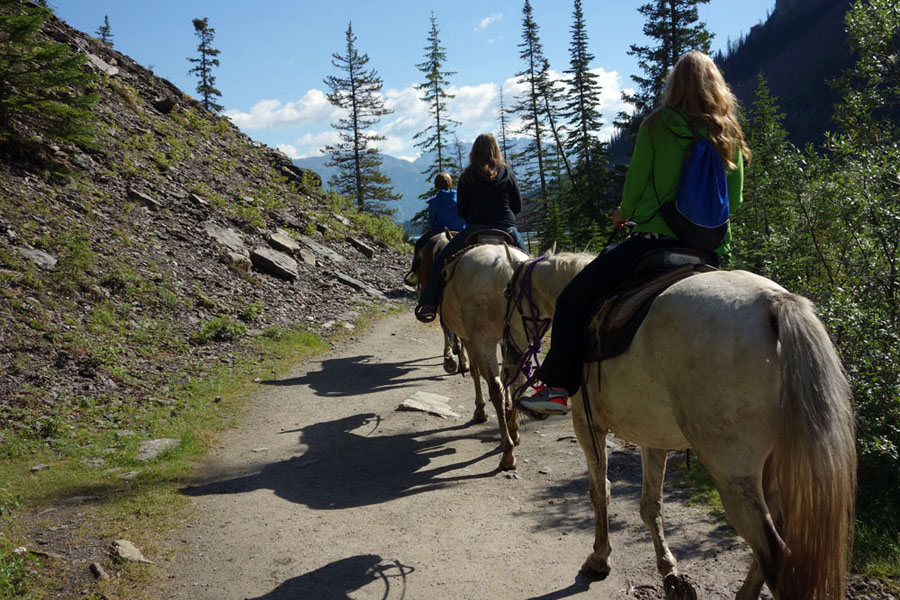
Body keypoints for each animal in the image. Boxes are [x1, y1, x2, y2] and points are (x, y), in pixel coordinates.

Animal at [440, 241, 532, 472]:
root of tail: (505, 266)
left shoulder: (470, 340)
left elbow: (475, 372)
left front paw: (479, 410)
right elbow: (509, 376)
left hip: (483, 341)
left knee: (495, 388)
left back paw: (507, 453)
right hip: (519, 338)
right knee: (515, 381)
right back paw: (514, 431)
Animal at [506, 252, 856, 600]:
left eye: (508, 293)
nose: (510, 354)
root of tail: (772, 303)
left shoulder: (586, 424)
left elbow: (600, 491)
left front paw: (599, 559)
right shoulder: (652, 434)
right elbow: (651, 505)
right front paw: (669, 570)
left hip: (732, 472)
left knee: (775, 555)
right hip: (772, 466)